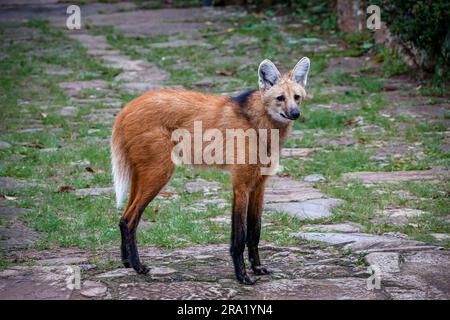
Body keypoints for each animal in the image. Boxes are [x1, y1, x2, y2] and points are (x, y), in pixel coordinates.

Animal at [110, 57, 312, 284]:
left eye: (297, 97)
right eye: (280, 98)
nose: (295, 113)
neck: (259, 125)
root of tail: (127, 108)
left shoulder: (259, 185)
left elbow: (255, 231)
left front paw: (258, 268)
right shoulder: (241, 185)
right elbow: (240, 235)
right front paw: (242, 276)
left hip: (143, 174)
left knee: (123, 218)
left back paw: (127, 262)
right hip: (159, 173)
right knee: (130, 220)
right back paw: (138, 267)